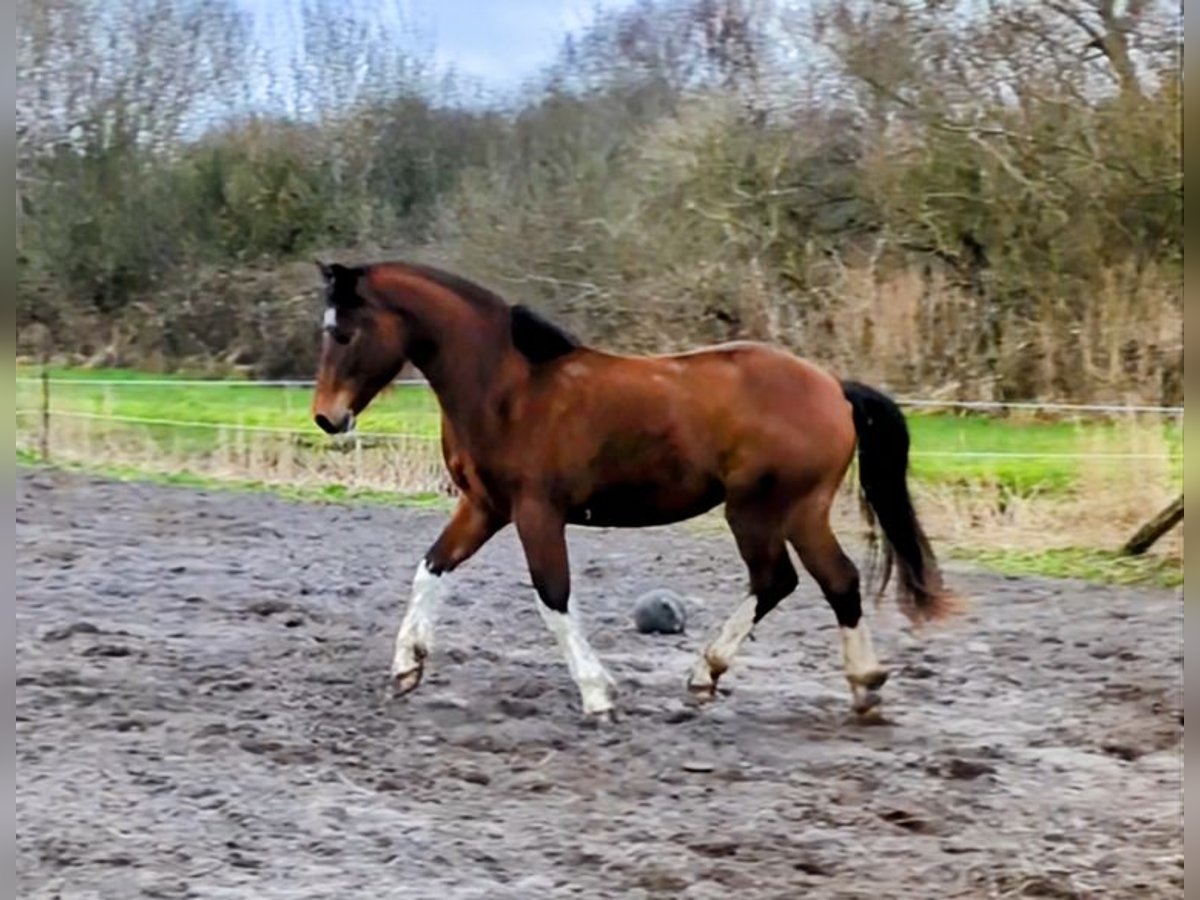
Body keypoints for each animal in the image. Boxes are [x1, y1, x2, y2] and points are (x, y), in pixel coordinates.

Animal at [309, 259, 955, 720]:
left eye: (343, 333)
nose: (327, 418)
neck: (506, 389)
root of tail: (833, 387)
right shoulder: (485, 507)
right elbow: (432, 569)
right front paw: (406, 668)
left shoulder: (536, 512)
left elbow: (553, 597)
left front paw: (598, 695)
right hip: (797, 513)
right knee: (833, 582)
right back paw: (857, 685)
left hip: (761, 510)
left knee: (784, 581)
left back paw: (714, 674)